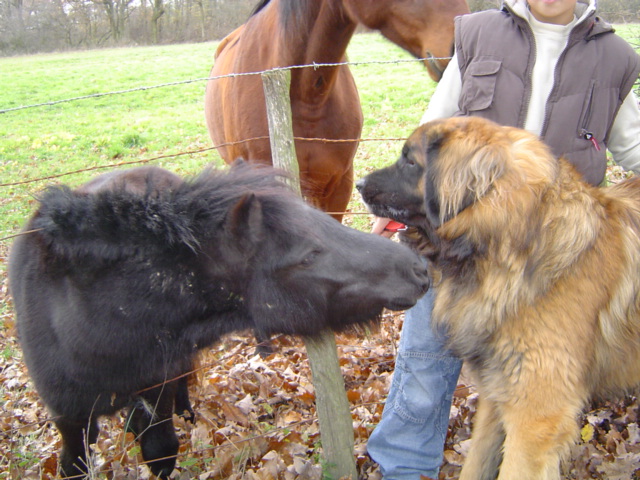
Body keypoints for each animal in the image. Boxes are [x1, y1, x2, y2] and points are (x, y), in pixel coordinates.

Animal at [7, 163, 430, 478]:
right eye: (308, 254)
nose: (418, 269)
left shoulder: (156, 388)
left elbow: (160, 450)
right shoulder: (69, 417)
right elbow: (75, 463)